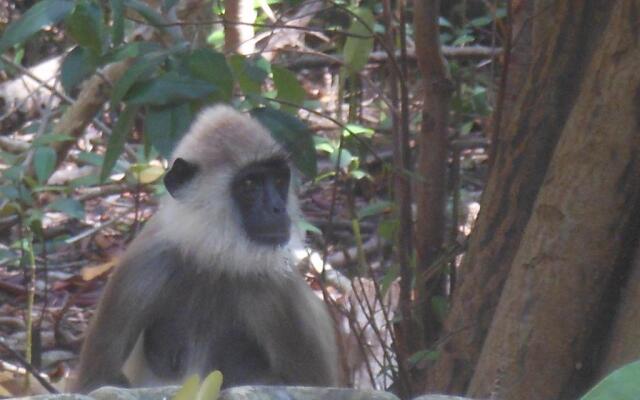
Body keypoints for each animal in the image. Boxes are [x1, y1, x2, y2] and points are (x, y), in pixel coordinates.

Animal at [72, 104, 338, 392]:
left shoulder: (279, 290)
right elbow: (98, 381)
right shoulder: (142, 265)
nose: (278, 208)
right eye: (250, 185)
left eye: (278, 180)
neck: (213, 259)